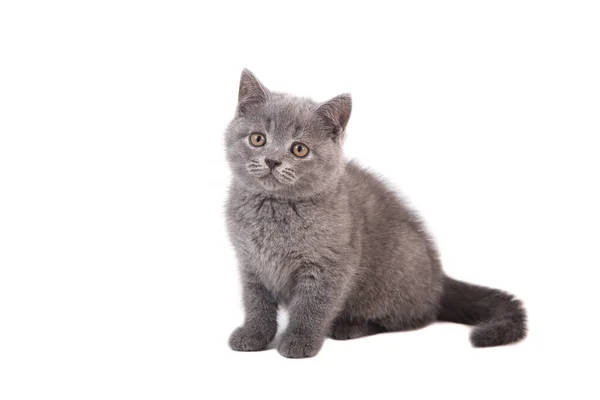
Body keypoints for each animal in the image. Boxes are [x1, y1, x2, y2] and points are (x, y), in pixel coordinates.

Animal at [224, 69, 524, 360]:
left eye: (299, 149)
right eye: (258, 138)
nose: (272, 160)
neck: (274, 208)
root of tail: (439, 277)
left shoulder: (329, 266)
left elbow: (313, 306)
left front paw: (299, 340)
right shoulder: (251, 263)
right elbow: (256, 303)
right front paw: (253, 335)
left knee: (413, 317)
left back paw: (349, 327)